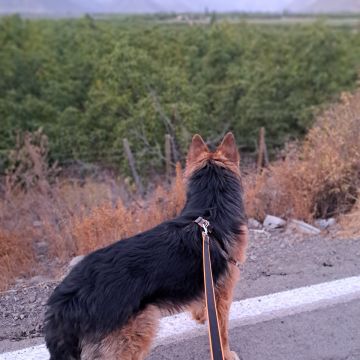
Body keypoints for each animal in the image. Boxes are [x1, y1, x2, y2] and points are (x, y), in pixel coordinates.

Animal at [44, 133, 248, 360]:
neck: (209, 211)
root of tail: (64, 302)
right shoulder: (223, 292)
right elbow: (222, 330)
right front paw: (226, 353)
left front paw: (201, 316)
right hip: (141, 328)